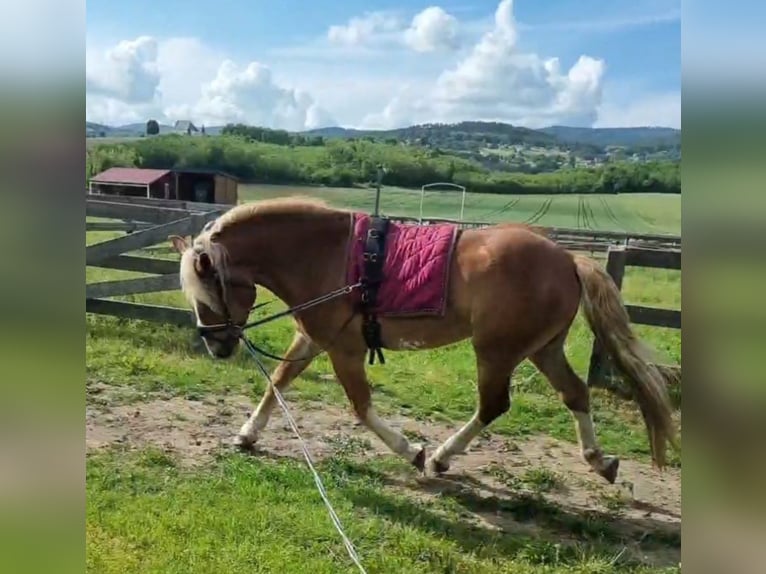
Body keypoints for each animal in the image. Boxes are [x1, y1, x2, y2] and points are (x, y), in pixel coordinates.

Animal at [171, 196, 680, 484]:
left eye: (207, 292)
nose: (215, 345)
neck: (327, 255)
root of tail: (568, 258)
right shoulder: (313, 338)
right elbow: (278, 381)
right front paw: (246, 434)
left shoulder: (345, 349)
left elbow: (360, 406)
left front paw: (410, 450)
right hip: (543, 348)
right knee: (574, 394)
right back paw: (599, 460)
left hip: (497, 351)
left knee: (493, 405)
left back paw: (439, 458)